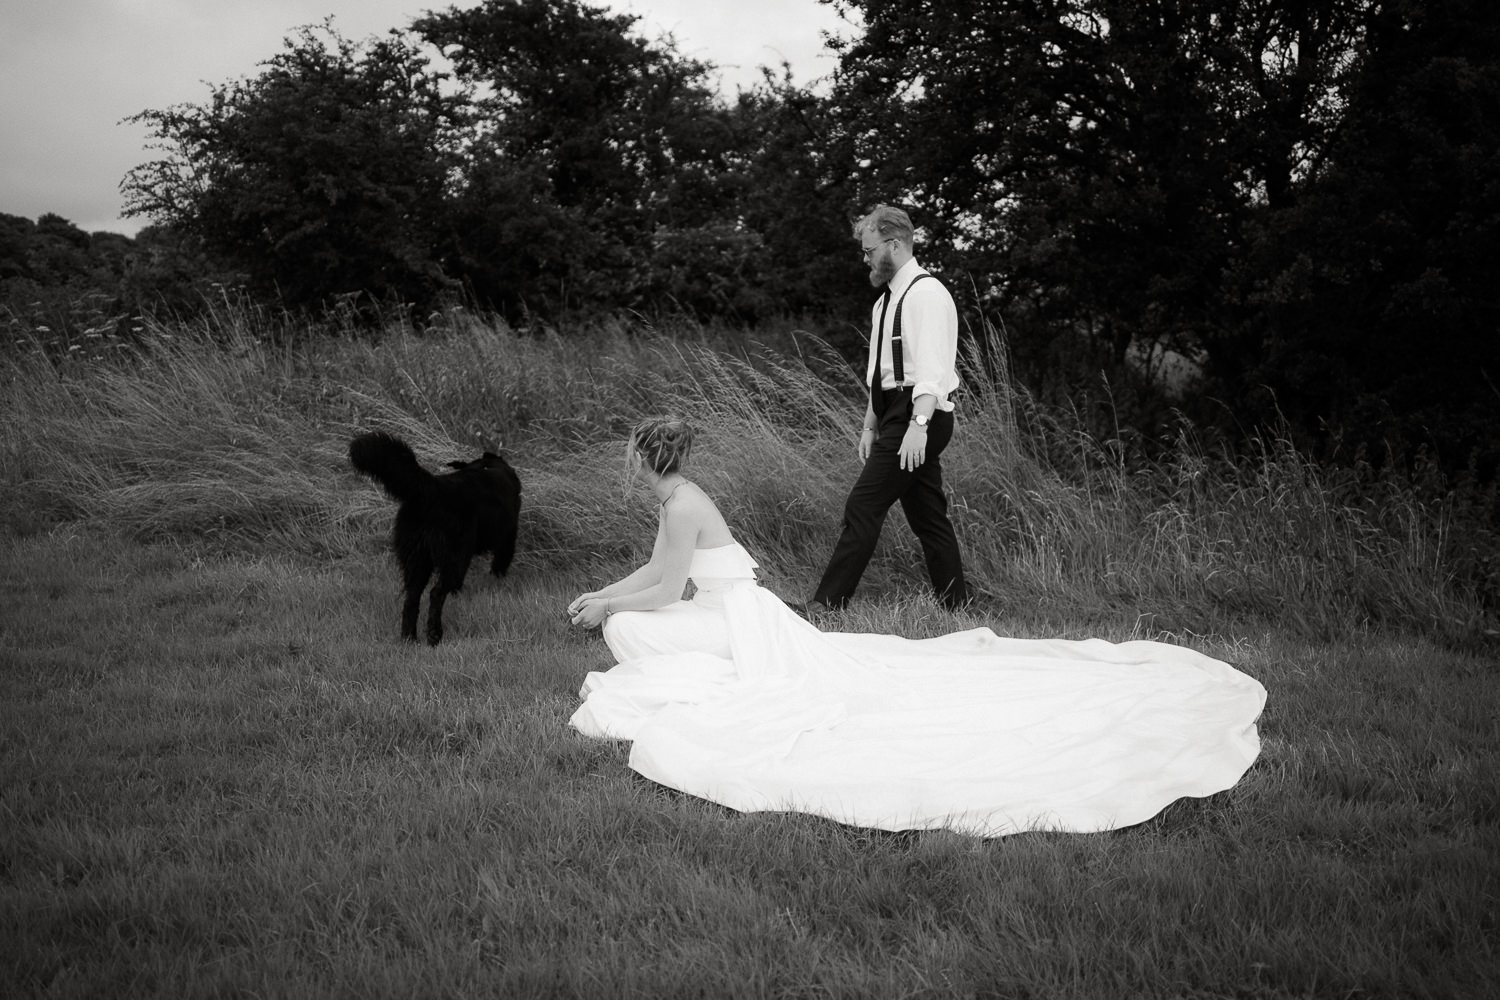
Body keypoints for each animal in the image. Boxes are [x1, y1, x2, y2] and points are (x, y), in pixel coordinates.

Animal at [351, 434, 522, 644]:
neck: (488, 466)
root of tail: (430, 490)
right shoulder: (508, 537)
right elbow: (500, 563)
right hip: (453, 557)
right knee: (436, 593)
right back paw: (434, 635)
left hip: (416, 559)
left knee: (411, 598)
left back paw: (409, 637)